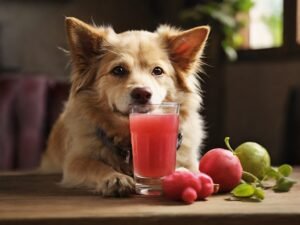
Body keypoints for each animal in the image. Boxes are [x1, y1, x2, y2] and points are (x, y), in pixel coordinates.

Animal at [41, 17, 210, 197]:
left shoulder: (189, 160)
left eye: (158, 71)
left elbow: (186, 168)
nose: (142, 93)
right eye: (118, 70)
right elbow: (96, 165)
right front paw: (115, 177)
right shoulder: (75, 161)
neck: (127, 138)